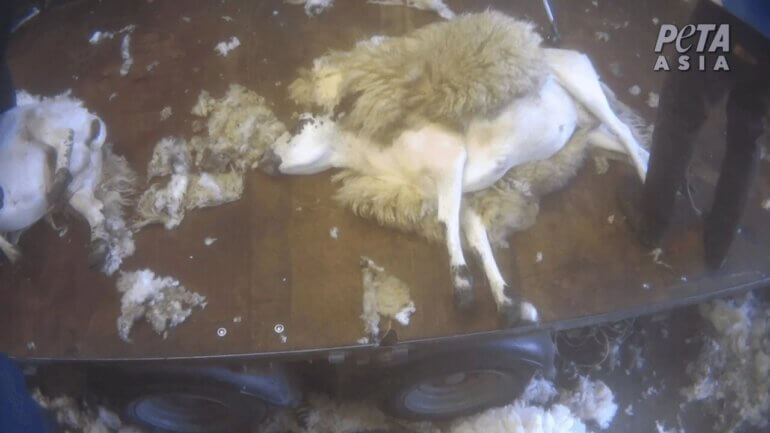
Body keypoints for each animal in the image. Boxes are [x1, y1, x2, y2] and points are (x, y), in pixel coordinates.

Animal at [263, 11, 649, 325]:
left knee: (624, 129)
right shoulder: (458, 188)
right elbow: (474, 234)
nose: (266, 161)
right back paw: (645, 168)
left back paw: (647, 181)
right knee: (629, 142)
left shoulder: (452, 163)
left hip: (583, 85)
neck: (384, 156)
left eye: (299, 126)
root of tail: (567, 52)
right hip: (590, 133)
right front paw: (508, 303)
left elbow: (447, 219)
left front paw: (463, 289)